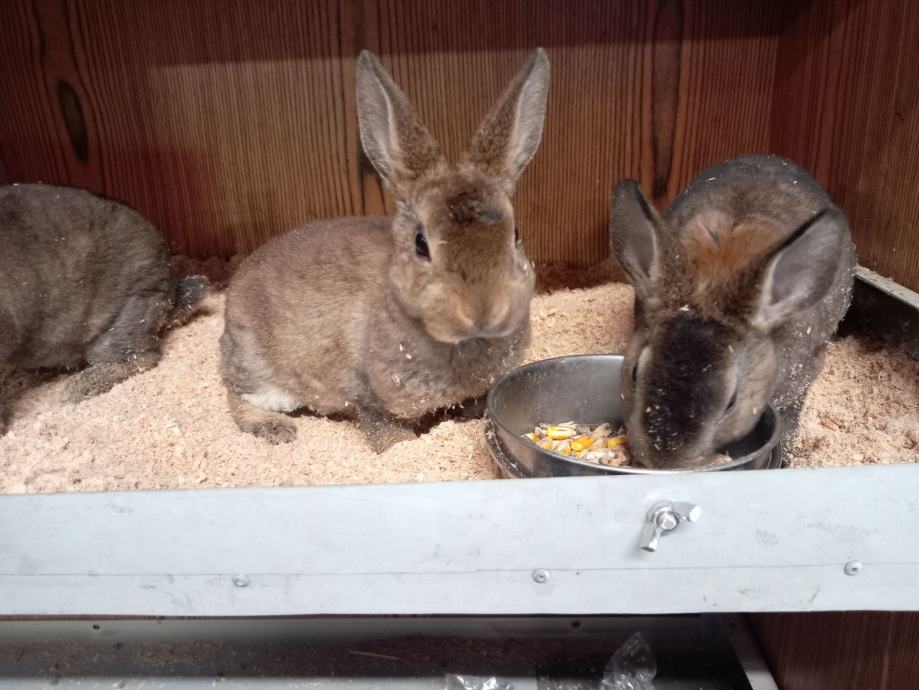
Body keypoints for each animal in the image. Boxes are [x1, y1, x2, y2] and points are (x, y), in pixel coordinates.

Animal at [220, 49, 550, 451]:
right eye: (421, 244)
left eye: (515, 234)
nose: (484, 311)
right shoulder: (371, 400)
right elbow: (389, 434)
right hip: (262, 373)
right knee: (237, 397)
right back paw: (275, 429)